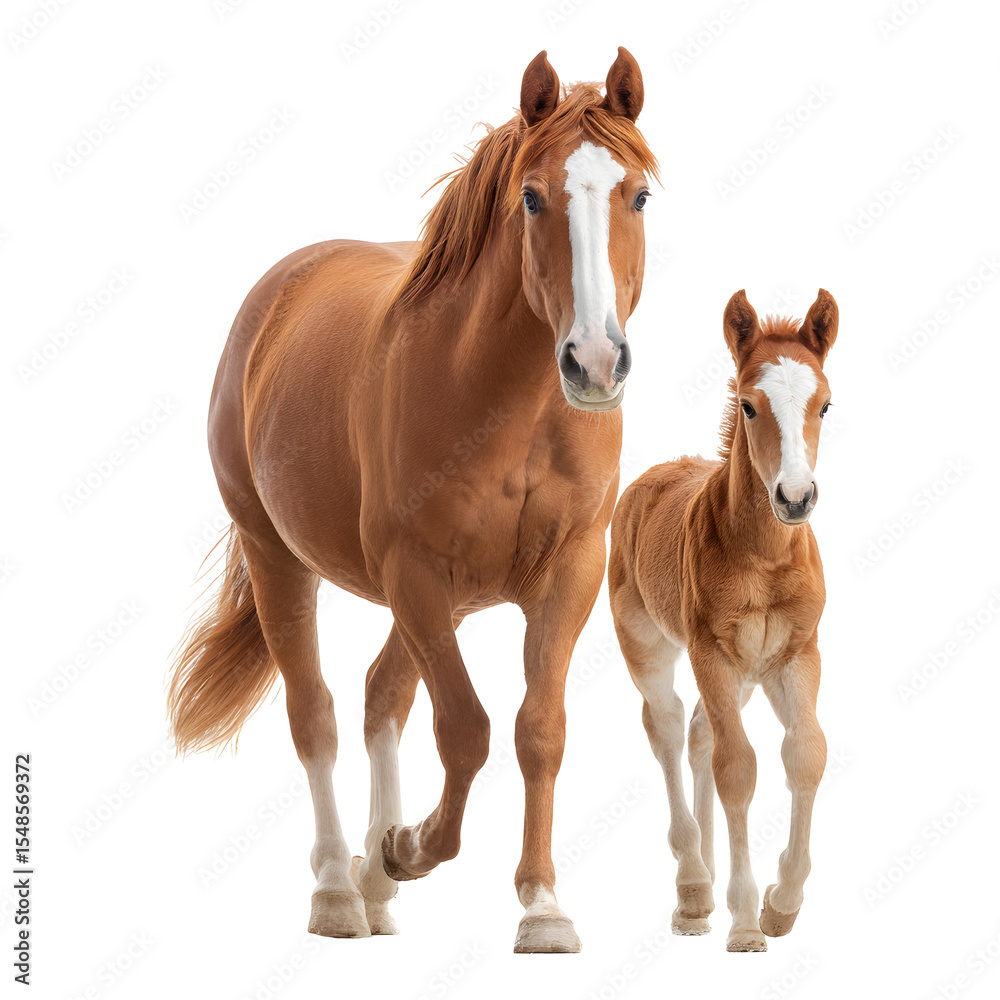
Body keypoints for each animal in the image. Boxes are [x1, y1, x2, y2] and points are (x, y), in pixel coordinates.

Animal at [168, 48, 659, 953]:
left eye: (636, 194)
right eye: (531, 196)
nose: (596, 362)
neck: (507, 405)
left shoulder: (567, 575)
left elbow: (538, 731)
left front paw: (540, 904)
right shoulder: (417, 575)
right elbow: (465, 730)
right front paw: (408, 848)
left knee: (379, 696)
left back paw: (372, 882)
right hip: (280, 558)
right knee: (317, 714)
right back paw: (339, 885)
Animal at [608, 289, 837, 951]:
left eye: (824, 404)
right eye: (750, 405)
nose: (796, 497)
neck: (764, 555)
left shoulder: (795, 655)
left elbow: (805, 753)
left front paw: (781, 903)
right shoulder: (710, 651)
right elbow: (738, 767)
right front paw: (743, 920)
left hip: (743, 675)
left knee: (700, 735)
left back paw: (705, 890)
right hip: (649, 645)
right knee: (666, 725)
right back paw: (694, 889)